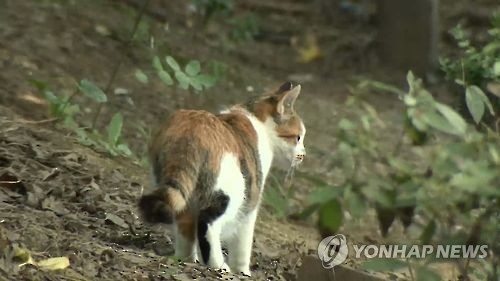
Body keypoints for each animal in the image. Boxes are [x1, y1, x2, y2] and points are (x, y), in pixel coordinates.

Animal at [139, 81, 306, 276]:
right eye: (298, 137)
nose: (303, 154)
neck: (256, 119)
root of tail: (192, 130)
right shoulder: (251, 202)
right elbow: (243, 244)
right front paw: (243, 272)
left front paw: (188, 259)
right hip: (232, 191)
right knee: (207, 223)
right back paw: (218, 265)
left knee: (184, 225)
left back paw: (185, 258)